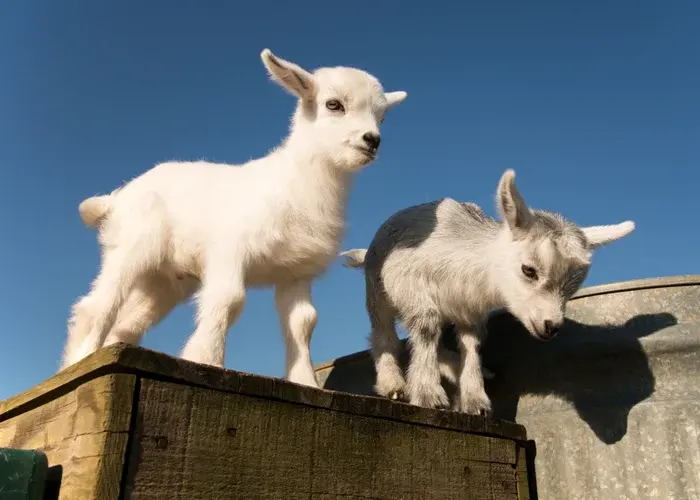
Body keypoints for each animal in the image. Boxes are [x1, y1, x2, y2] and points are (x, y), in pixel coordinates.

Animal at [61, 48, 408, 390]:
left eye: (382, 116)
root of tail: (116, 197)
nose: (372, 140)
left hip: (163, 283)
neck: (293, 181)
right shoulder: (230, 251)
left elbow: (304, 322)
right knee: (98, 304)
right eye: (333, 104)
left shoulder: (296, 272)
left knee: (127, 322)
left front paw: (305, 380)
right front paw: (207, 359)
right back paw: (79, 361)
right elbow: (228, 300)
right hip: (132, 245)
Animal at [340, 169, 635, 414]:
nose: (551, 326)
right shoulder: (410, 283)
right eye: (529, 270)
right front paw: (428, 394)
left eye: (573, 285)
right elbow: (426, 328)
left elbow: (471, 343)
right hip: (376, 290)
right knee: (383, 332)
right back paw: (393, 384)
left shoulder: (470, 310)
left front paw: (474, 400)